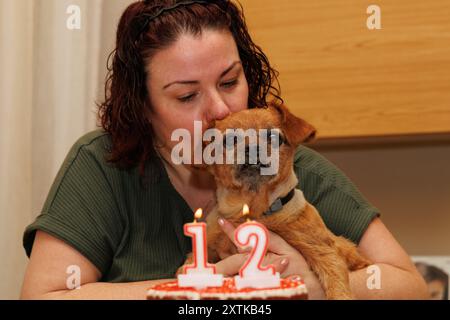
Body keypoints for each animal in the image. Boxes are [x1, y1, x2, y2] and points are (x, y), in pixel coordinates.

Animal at [201, 103, 372, 300]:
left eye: (273, 137)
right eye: (229, 140)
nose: (252, 148)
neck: (255, 210)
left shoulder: (322, 251)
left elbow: (337, 286)